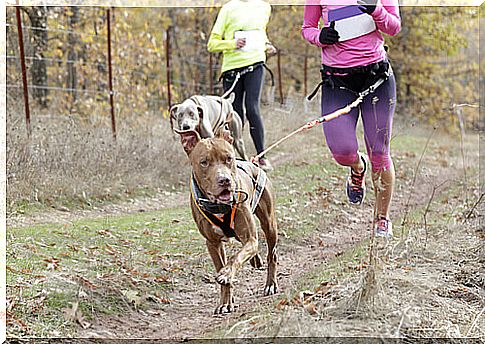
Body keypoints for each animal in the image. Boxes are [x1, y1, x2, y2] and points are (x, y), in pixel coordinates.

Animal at [176, 127, 278, 314]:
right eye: (204, 162)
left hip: (269, 224)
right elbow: (222, 265)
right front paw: (225, 302)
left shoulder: (250, 238)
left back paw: (270, 284)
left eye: (228, 158)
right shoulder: (212, 243)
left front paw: (226, 274)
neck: (218, 205)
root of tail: (253, 164)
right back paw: (255, 260)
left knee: (271, 255)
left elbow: (236, 257)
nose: (224, 180)